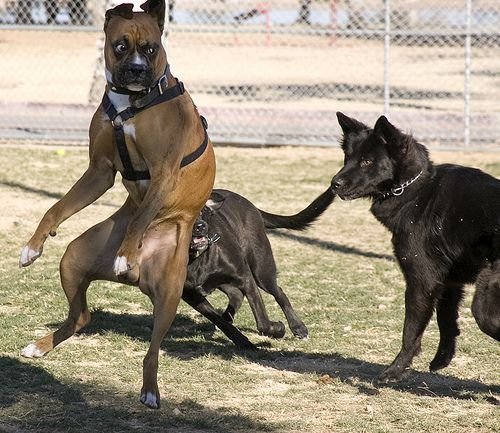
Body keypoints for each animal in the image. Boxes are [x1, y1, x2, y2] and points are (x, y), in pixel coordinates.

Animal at [18, 0, 215, 408]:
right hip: (73, 261)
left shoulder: (163, 174)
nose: (138, 69)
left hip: (169, 296)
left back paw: (150, 391)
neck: (132, 103)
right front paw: (32, 247)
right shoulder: (100, 171)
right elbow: (55, 208)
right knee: (81, 318)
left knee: (152, 351)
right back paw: (39, 347)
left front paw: (126, 252)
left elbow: (141, 217)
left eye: (151, 48)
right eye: (121, 46)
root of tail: (138, 280)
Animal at [182, 187, 334, 340]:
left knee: (279, 293)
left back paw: (298, 327)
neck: (197, 258)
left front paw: (278, 329)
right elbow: (220, 321)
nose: (201, 226)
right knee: (236, 295)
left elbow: (263, 322)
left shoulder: (246, 278)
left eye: (203, 211)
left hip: (261, 271)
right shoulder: (192, 296)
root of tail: (251, 205)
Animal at [330, 112, 498, 382]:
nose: (334, 183)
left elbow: (410, 332)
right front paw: (442, 358)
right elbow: (446, 320)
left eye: (367, 161)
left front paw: (395, 370)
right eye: (348, 158)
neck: (417, 190)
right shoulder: (449, 282)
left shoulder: (421, 281)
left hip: (485, 304)